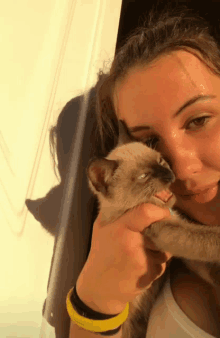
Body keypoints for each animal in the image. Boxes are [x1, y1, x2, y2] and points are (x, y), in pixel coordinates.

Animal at [86, 120, 220, 338]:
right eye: (144, 176)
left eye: (161, 162)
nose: (169, 175)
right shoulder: (167, 232)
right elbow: (205, 239)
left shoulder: (179, 252)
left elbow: (204, 264)